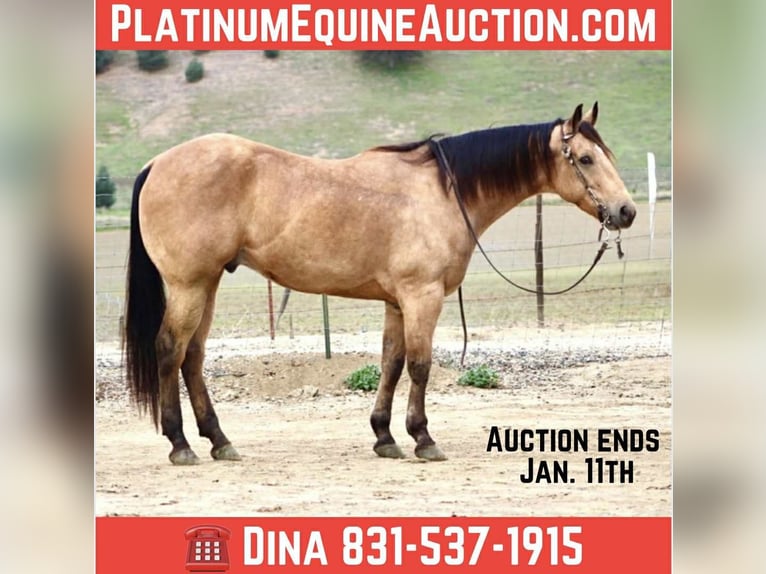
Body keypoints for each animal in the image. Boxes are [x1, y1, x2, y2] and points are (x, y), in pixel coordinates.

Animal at [124, 102, 636, 465]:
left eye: (608, 154)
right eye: (586, 158)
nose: (626, 211)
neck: (442, 192)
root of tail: (156, 164)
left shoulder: (395, 302)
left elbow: (391, 363)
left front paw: (385, 436)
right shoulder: (421, 297)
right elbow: (421, 366)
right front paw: (423, 437)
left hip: (207, 285)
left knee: (192, 357)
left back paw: (219, 440)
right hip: (189, 285)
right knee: (170, 349)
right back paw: (180, 444)